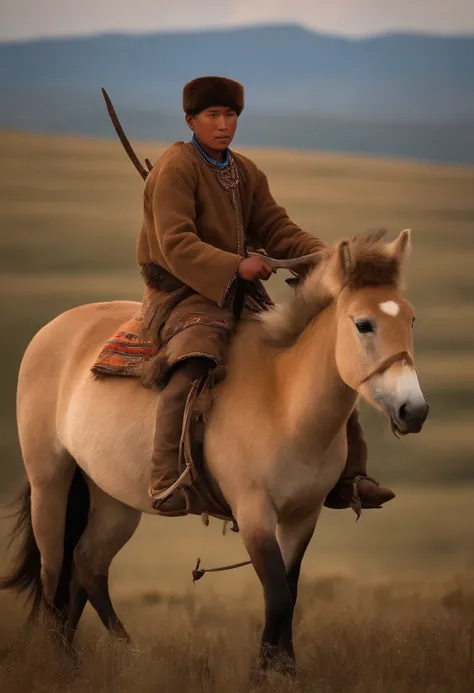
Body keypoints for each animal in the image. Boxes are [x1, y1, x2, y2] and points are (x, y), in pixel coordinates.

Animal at [0, 227, 430, 672]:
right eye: (363, 324)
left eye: (411, 318)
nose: (413, 411)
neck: (285, 400)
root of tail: (52, 330)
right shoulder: (254, 511)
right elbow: (277, 596)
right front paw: (262, 676)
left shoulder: (303, 515)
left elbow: (290, 593)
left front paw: (287, 672)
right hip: (50, 483)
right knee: (54, 572)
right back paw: (64, 662)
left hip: (113, 497)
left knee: (87, 565)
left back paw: (117, 656)